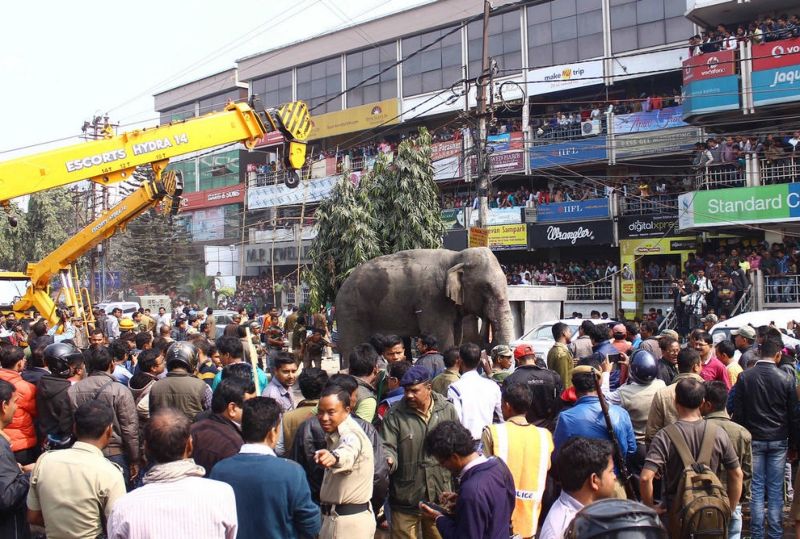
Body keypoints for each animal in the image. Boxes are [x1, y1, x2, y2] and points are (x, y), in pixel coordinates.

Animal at [334, 248, 516, 368]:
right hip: (350, 311)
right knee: (352, 345)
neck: (455, 257)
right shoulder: (432, 299)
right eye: (486, 287)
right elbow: (442, 338)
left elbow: (457, 336)